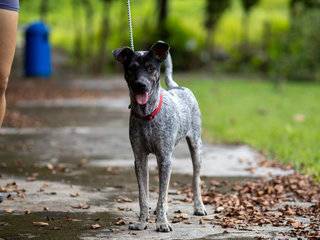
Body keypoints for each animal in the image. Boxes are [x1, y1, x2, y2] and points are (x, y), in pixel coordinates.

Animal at [112, 41, 208, 232]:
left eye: (150, 68)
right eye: (132, 68)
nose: (141, 85)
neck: (147, 115)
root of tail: (177, 86)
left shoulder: (164, 157)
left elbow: (162, 194)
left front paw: (162, 222)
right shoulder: (140, 158)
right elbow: (144, 195)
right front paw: (142, 221)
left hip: (195, 146)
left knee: (196, 179)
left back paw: (199, 206)